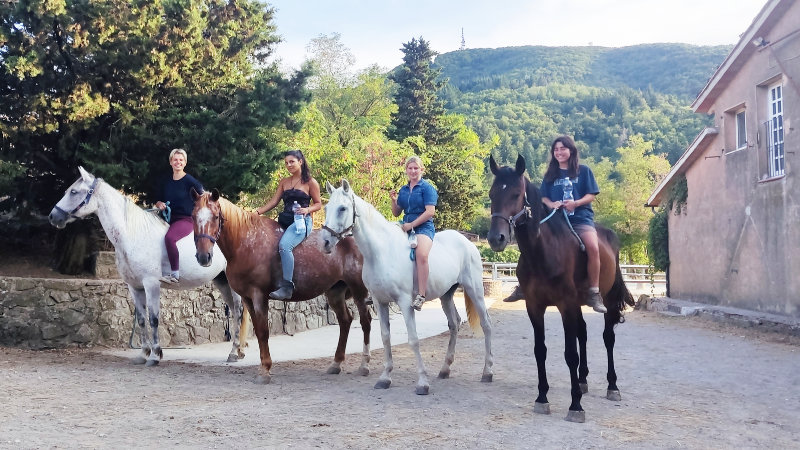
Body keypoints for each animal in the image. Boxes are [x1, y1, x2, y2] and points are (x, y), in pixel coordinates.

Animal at [48, 167, 246, 366]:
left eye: (73, 192)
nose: (53, 217)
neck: (133, 235)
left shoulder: (151, 284)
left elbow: (154, 319)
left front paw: (155, 355)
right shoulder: (134, 287)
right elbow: (142, 320)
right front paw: (143, 353)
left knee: (238, 311)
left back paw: (234, 353)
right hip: (221, 281)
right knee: (235, 311)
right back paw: (239, 351)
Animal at [191, 189, 373, 384]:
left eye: (216, 216)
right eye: (193, 216)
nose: (203, 256)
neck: (246, 242)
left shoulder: (259, 295)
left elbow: (263, 331)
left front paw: (265, 370)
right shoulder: (247, 298)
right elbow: (258, 331)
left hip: (359, 290)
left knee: (365, 322)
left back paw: (364, 365)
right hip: (335, 292)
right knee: (345, 321)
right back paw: (336, 364)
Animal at [321, 180, 493, 395]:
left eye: (342, 208)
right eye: (326, 207)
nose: (325, 242)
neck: (381, 252)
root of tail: (467, 243)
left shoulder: (404, 302)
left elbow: (413, 339)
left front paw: (422, 383)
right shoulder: (380, 302)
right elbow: (385, 337)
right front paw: (385, 378)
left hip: (475, 290)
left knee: (486, 325)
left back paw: (487, 372)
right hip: (446, 295)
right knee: (454, 324)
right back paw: (445, 369)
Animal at [487, 155, 634, 423]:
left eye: (516, 194)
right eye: (492, 194)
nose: (496, 238)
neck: (544, 253)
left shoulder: (566, 305)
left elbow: (570, 354)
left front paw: (575, 406)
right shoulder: (535, 306)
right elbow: (540, 350)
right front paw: (542, 398)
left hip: (605, 302)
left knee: (608, 338)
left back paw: (612, 387)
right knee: (583, 334)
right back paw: (583, 381)